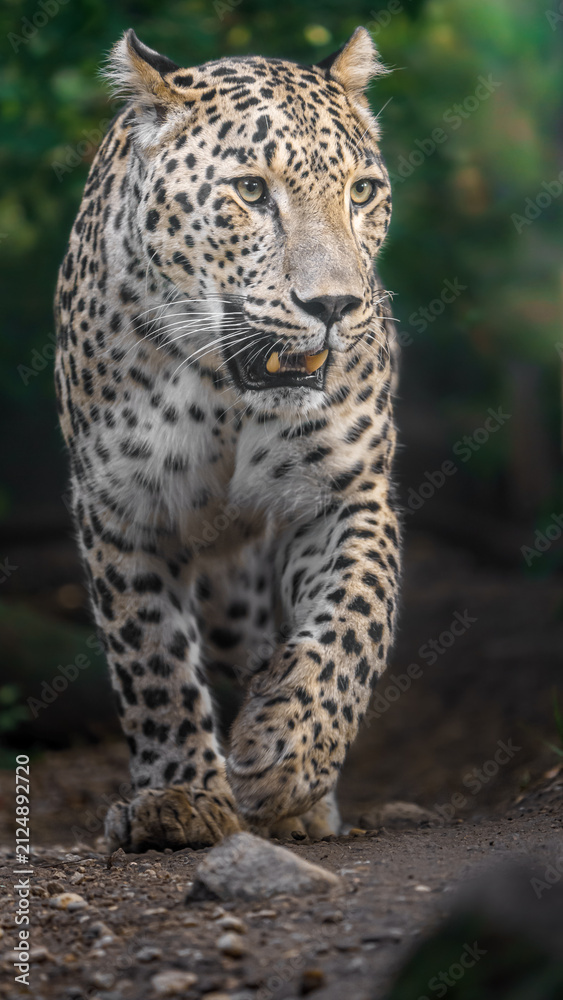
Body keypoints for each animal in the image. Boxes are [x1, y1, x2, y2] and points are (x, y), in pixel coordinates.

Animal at [54, 25, 401, 852]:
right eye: (249, 192)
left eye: (361, 193)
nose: (334, 306)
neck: (226, 394)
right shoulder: (121, 508)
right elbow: (150, 655)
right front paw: (180, 796)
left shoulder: (346, 491)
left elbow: (352, 622)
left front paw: (288, 752)